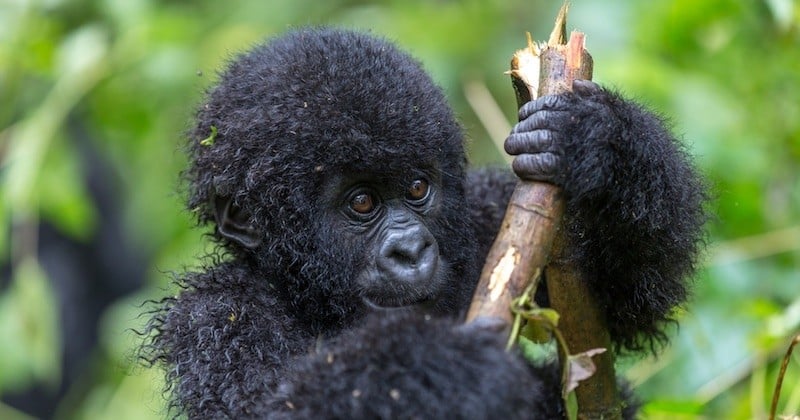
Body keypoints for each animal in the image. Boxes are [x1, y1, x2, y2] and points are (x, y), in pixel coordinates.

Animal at [145, 27, 708, 418]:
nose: (412, 250)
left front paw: (601, 143)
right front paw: (448, 365)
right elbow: (271, 408)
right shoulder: (218, 320)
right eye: (362, 202)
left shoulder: (486, 214)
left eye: (417, 188)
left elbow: (618, 307)